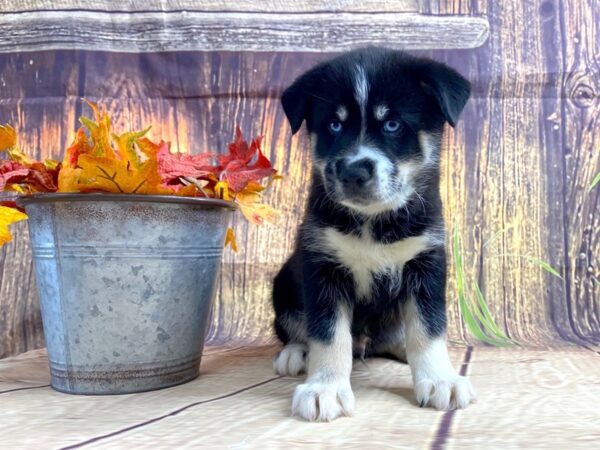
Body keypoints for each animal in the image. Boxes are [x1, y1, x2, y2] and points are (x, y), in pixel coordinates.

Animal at [270, 49, 474, 422]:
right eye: (334, 125)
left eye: (392, 124)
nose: (354, 172)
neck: (373, 223)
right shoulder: (323, 266)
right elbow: (328, 334)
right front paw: (324, 388)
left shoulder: (425, 262)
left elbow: (428, 328)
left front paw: (440, 379)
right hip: (284, 284)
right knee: (297, 328)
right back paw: (296, 353)